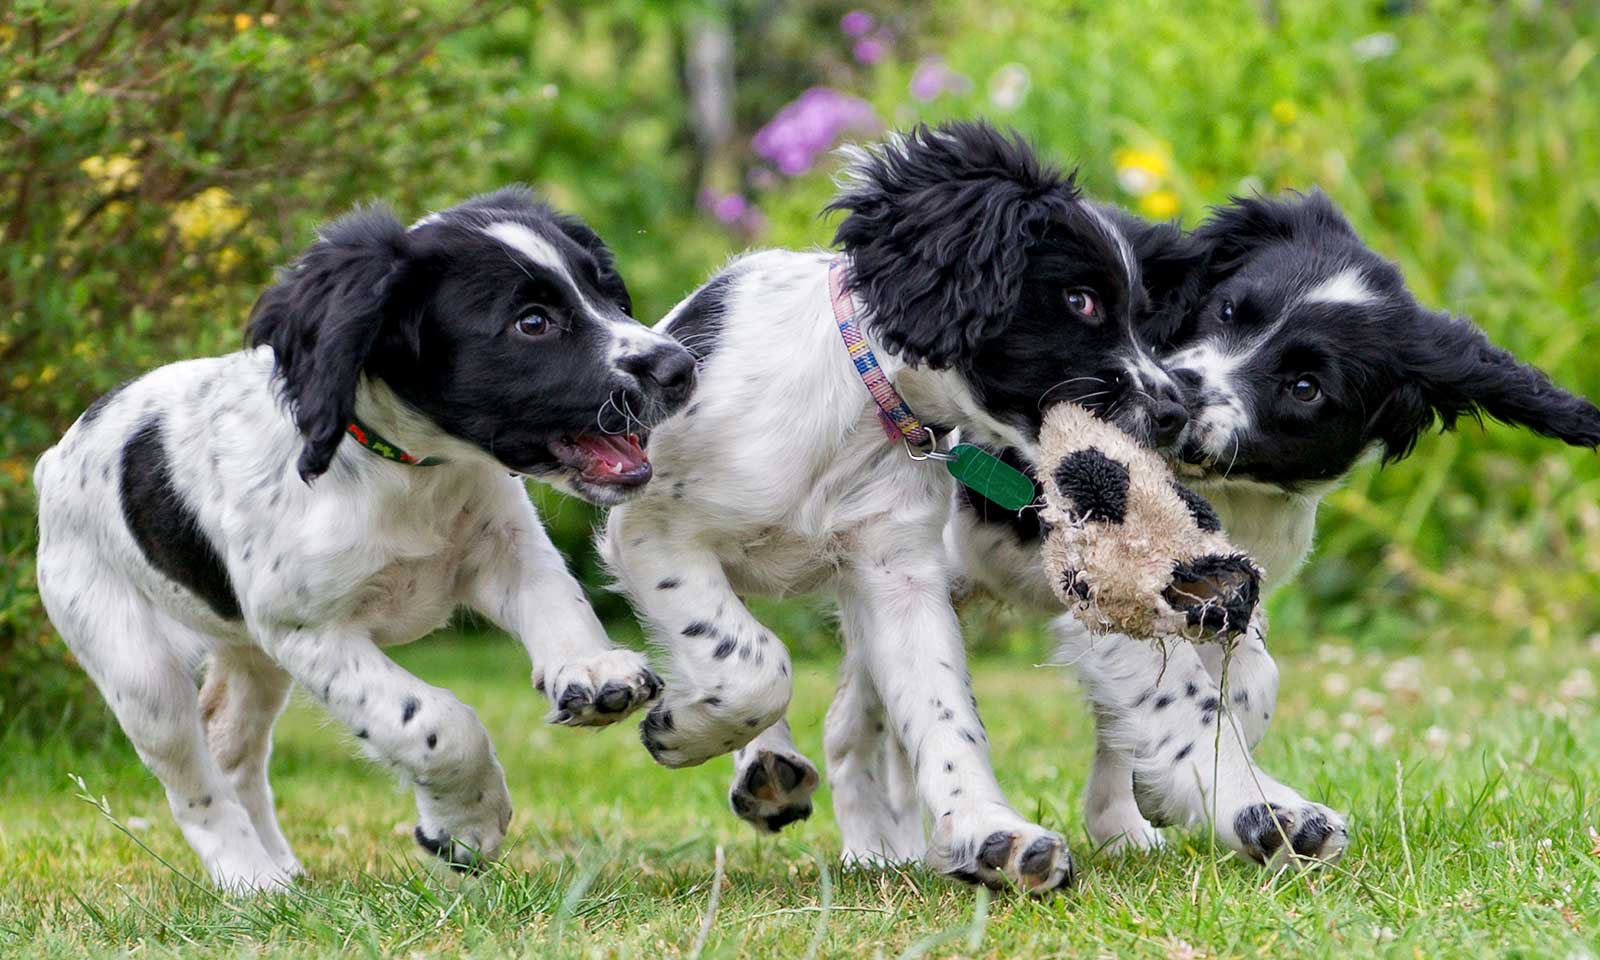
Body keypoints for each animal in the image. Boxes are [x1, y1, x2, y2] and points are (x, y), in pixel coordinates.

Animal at [32, 187, 694, 889]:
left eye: (607, 294)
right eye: (533, 323)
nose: (680, 366)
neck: (407, 472)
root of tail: (55, 459)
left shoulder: (505, 550)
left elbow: (560, 607)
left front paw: (592, 670)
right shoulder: (312, 632)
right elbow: (434, 722)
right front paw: (465, 824)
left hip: (250, 657)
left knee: (231, 745)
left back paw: (284, 878)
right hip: (138, 670)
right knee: (193, 783)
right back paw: (249, 879)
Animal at [601, 124, 1190, 896]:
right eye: (1080, 301)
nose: (1179, 414)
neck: (858, 406)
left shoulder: (896, 574)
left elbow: (943, 715)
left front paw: (993, 835)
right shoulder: (649, 529)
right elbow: (756, 664)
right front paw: (681, 728)